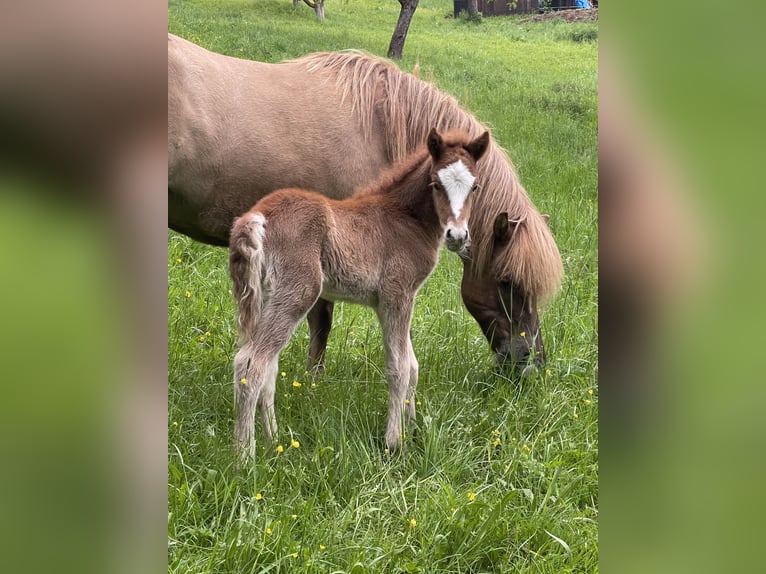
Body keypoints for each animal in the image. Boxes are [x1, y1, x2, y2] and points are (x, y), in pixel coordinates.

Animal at [231, 129, 488, 460]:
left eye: (475, 186)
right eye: (435, 183)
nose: (456, 236)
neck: (406, 218)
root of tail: (258, 216)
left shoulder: (390, 302)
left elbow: (413, 366)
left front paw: (413, 427)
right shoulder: (397, 295)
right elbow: (399, 368)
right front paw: (394, 442)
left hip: (267, 296)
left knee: (268, 368)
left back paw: (273, 440)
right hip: (298, 292)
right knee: (251, 363)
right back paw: (244, 456)